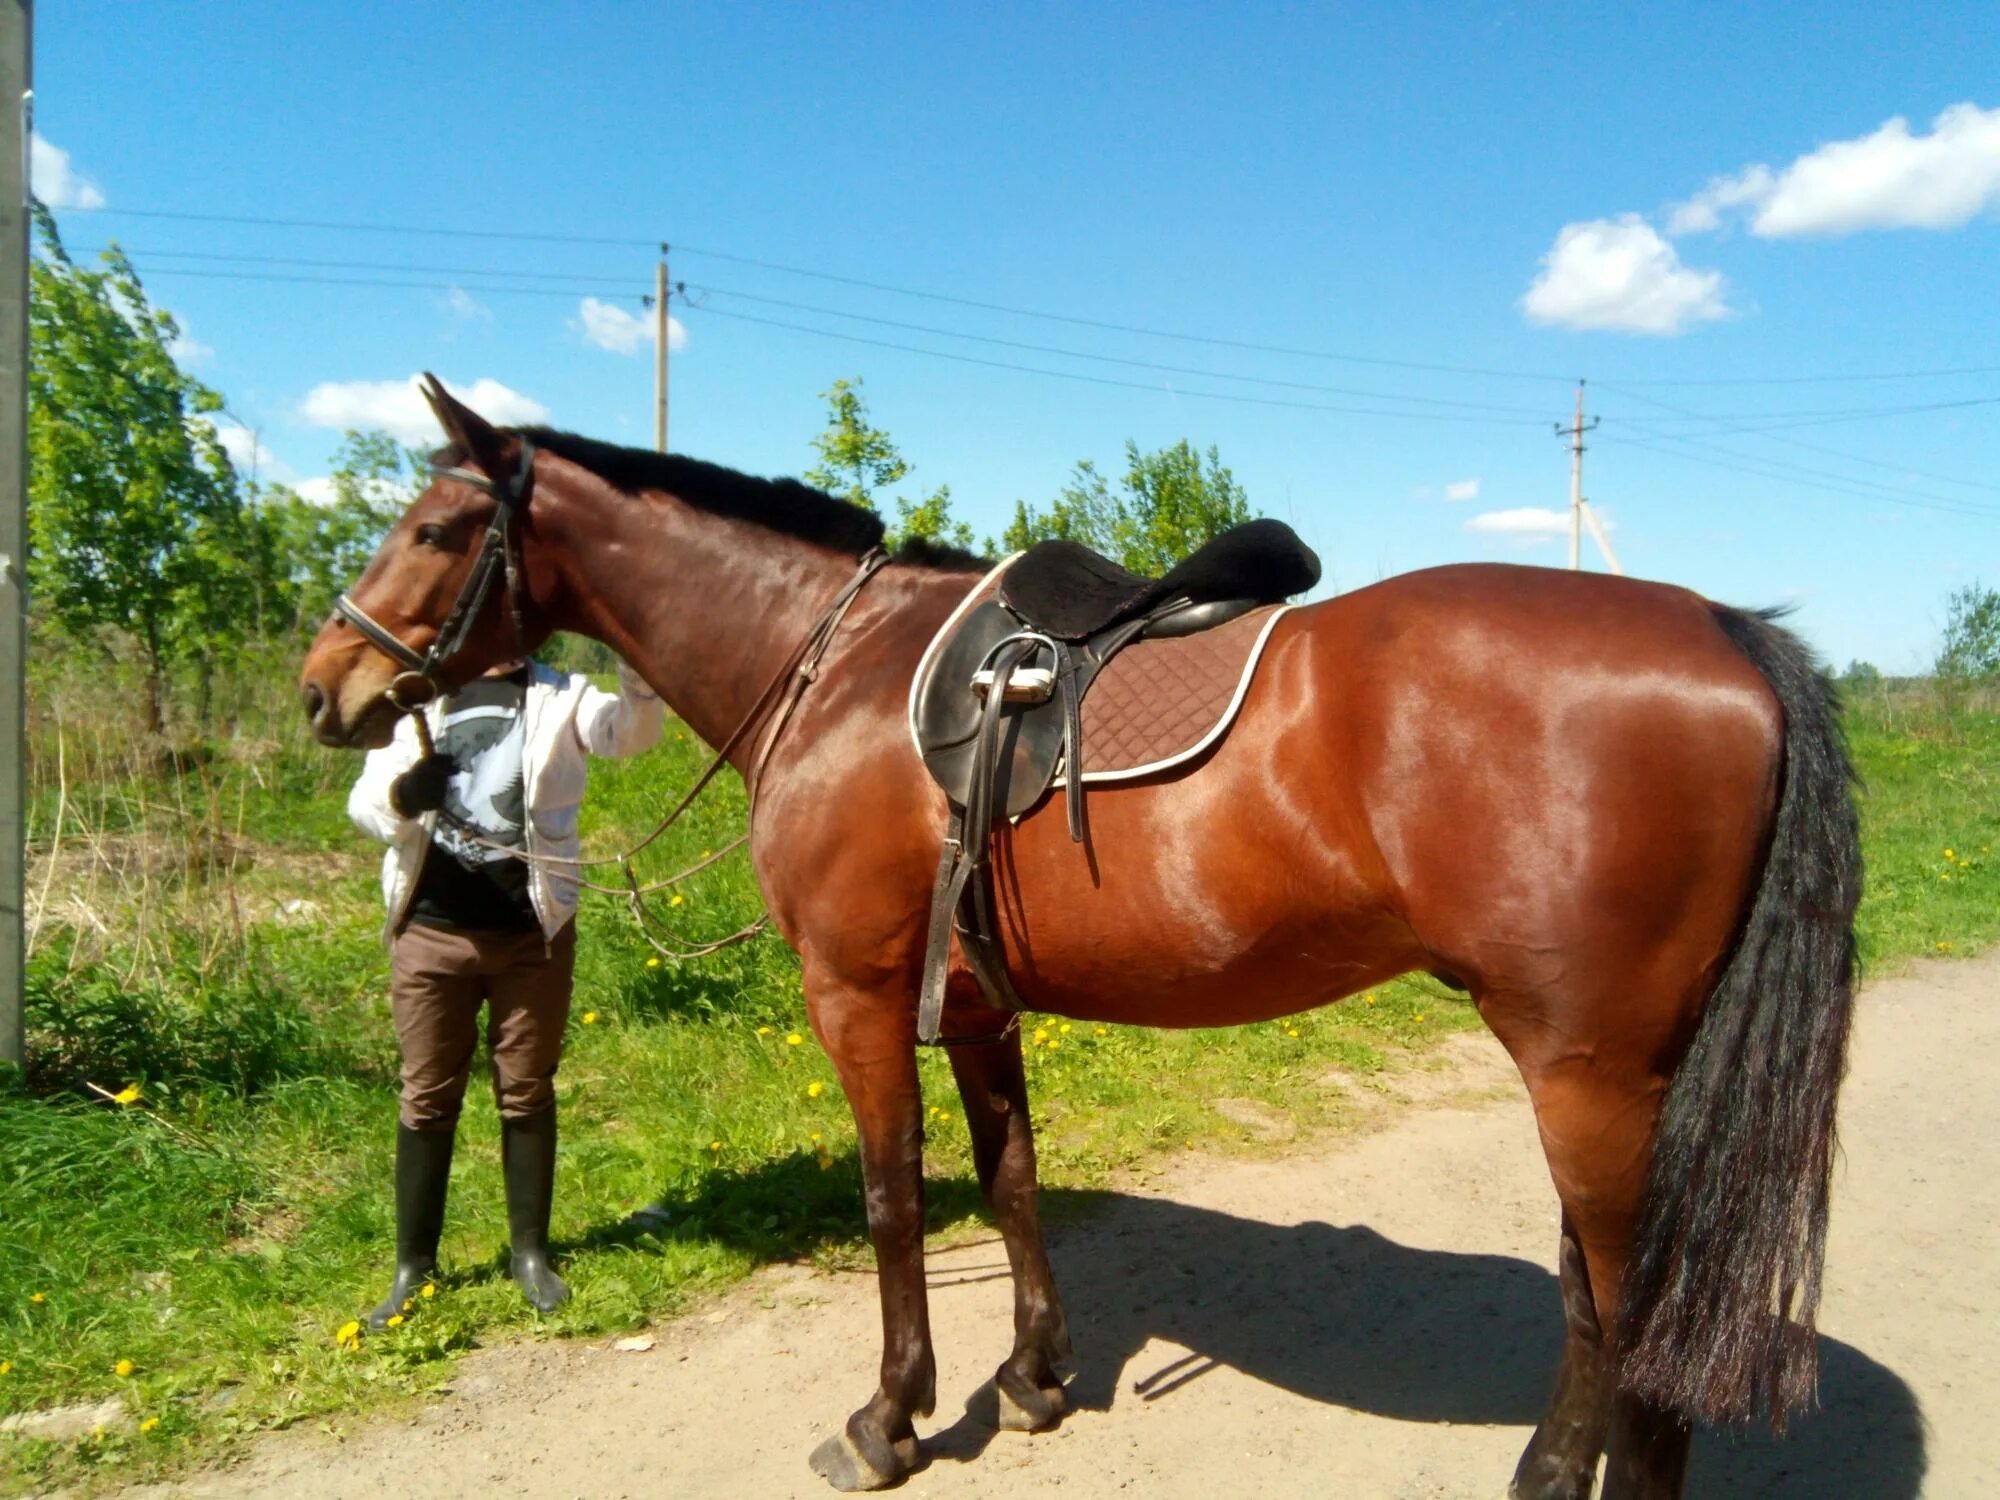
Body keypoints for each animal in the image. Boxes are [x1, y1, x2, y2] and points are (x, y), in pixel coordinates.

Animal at [296, 384, 1856, 1500]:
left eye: (433, 530)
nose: (326, 688)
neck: (831, 664)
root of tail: (1727, 633)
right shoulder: (976, 1002)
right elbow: (1011, 1180)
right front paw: (1036, 1378)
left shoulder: (858, 996)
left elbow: (894, 1201)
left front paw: (892, 1417)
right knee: (1599, 1299)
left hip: (1590, 1073)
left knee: (1626, 1307)